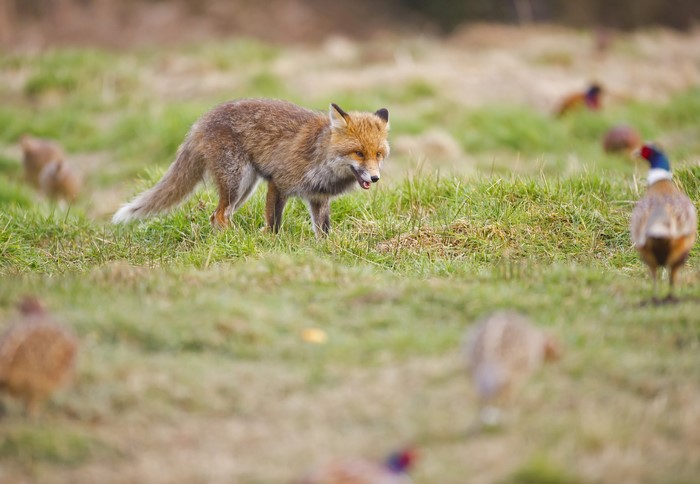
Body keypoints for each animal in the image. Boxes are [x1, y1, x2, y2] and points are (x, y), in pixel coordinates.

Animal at [112, 99, 390, 236]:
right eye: (358, 153)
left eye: (378, 154)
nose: (375, 178)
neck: (320, 158)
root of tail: (201, 121)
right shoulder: (278, 183)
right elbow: (274, 224)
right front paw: (272, 244)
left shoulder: (318, 197)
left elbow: (323, 231)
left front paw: (326, 250)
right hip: (238, 181)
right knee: (219, 215)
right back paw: (240, 239)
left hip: (244, 188)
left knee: (217, 216)